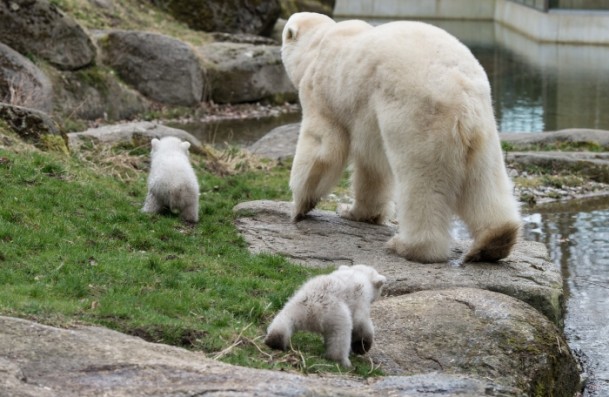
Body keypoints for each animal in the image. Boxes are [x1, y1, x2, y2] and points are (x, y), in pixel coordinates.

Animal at [282, 12, 520, 262]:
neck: (317, 44)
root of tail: (463, 93)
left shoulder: (323, 94)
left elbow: (321, 147)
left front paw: (298, 207)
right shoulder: (366, 118)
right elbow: (372, 167)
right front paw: (355, 212)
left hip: (418, 115)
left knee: (421, 181)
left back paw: (408, 246)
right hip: (484, 127)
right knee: (484, 178)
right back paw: (494, 242)